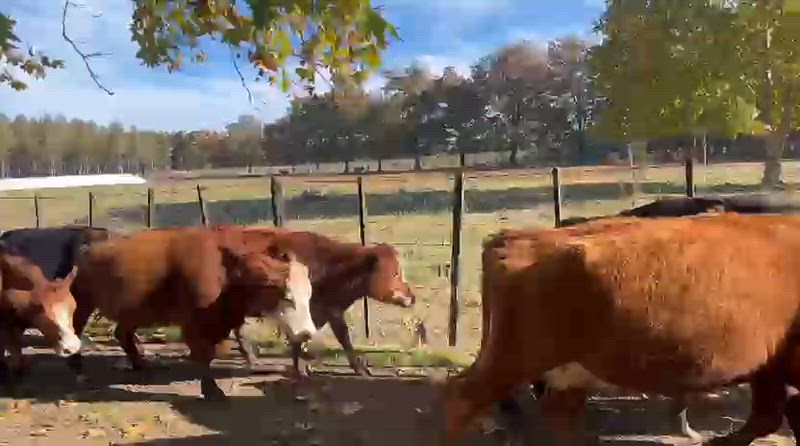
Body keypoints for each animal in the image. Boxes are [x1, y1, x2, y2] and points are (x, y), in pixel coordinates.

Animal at [64, 226, 317, 400]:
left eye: (309, 294)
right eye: (287, 295)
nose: (307, 333)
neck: (225, 268)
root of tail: (89, 245)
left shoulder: (226, 318)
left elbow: (235, 342)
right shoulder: (194, 323)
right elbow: (204, 354)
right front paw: (211, 390)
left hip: (132, 311)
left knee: (122, 334)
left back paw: (140, 365)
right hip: (83, 302)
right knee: (76, 329)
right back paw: (76, 367)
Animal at [437, 213, 800, 446]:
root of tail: (514, 239)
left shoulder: (771, 368)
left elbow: (768, 417)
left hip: (565, 368)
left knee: (558, 413)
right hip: (517, 358)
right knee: (461, 399)